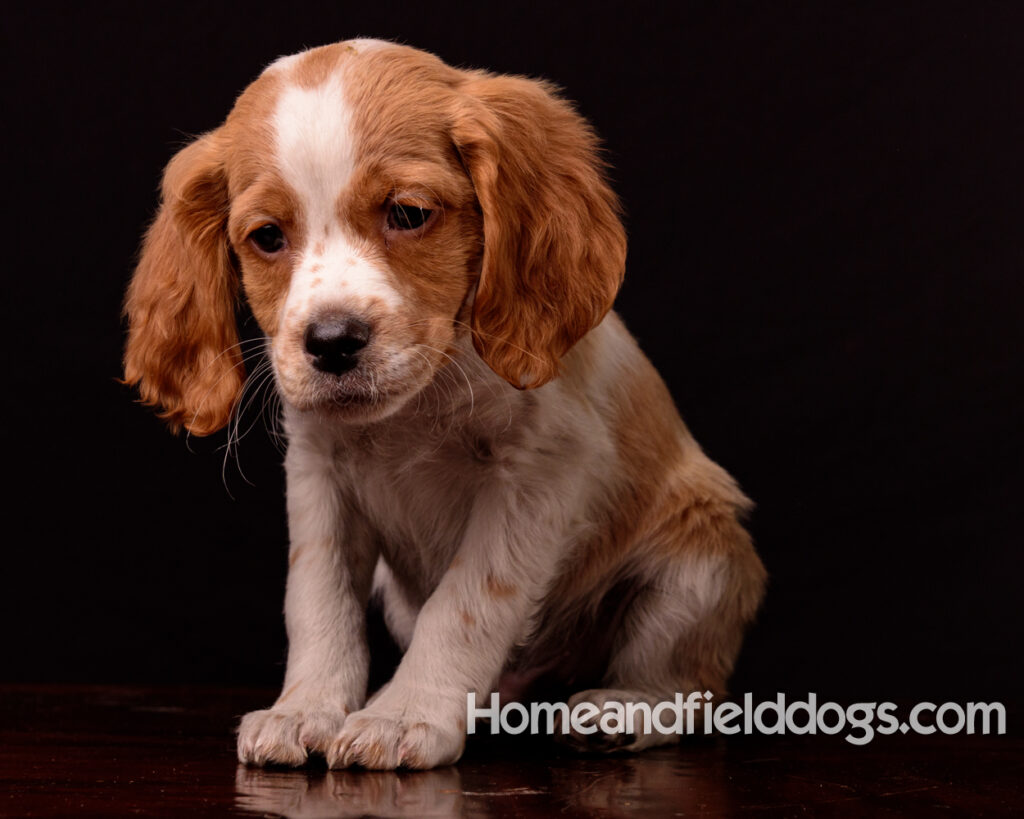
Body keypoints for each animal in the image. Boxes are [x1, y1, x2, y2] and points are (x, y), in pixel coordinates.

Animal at [123, 38, 765, 769]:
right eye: (266, 237)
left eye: (407, 213)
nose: (332, 341)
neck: (415, 407)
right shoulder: (318, 472)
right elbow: (318, 601)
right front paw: (306, 708)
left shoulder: (537, 473)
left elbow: (464, 602)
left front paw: (402, 715)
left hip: (699, 562)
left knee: (689, 682)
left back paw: (622, 707)